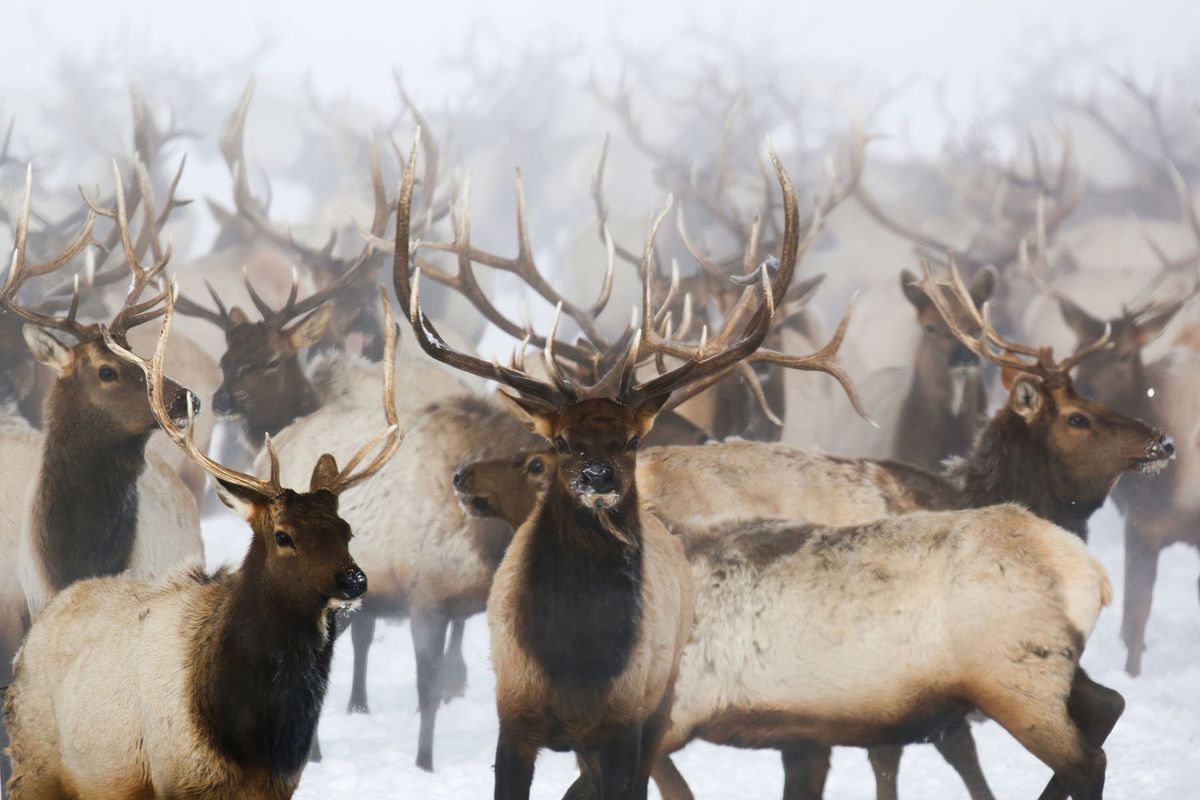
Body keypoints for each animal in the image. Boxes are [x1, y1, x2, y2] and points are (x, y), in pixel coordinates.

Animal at [0, 291, 403, 800]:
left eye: (346, 530)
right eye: (283, 535)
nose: (354, 580)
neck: (255, 731)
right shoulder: (181, 775)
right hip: (35, 764)